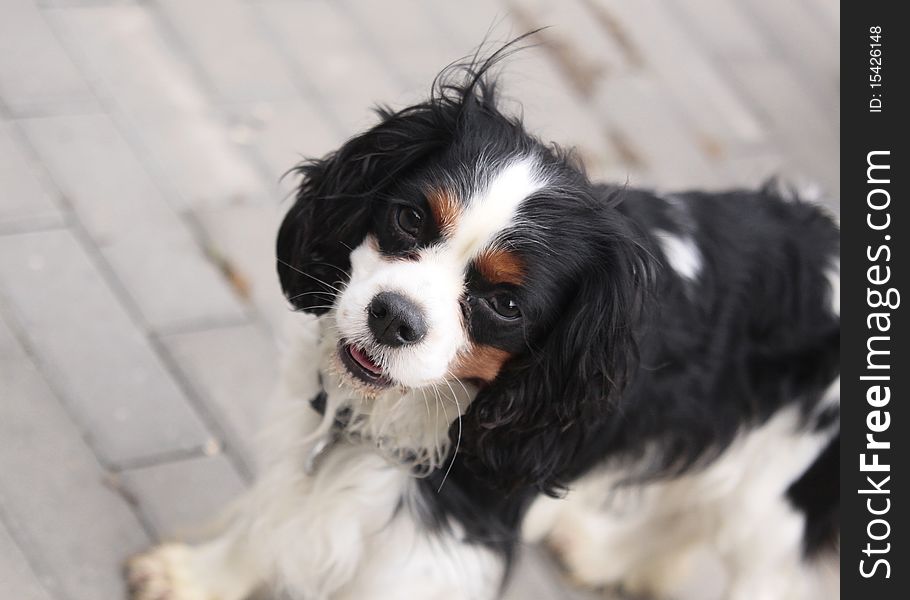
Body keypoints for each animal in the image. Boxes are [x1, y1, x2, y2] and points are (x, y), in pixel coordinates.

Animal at [126, 51, 840, 600]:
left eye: (505, 305)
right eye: (410, 219)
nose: (394, 317)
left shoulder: (449, 537)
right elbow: (271, 514)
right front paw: (200, 577)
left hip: (783, 510)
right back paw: (600, 551)